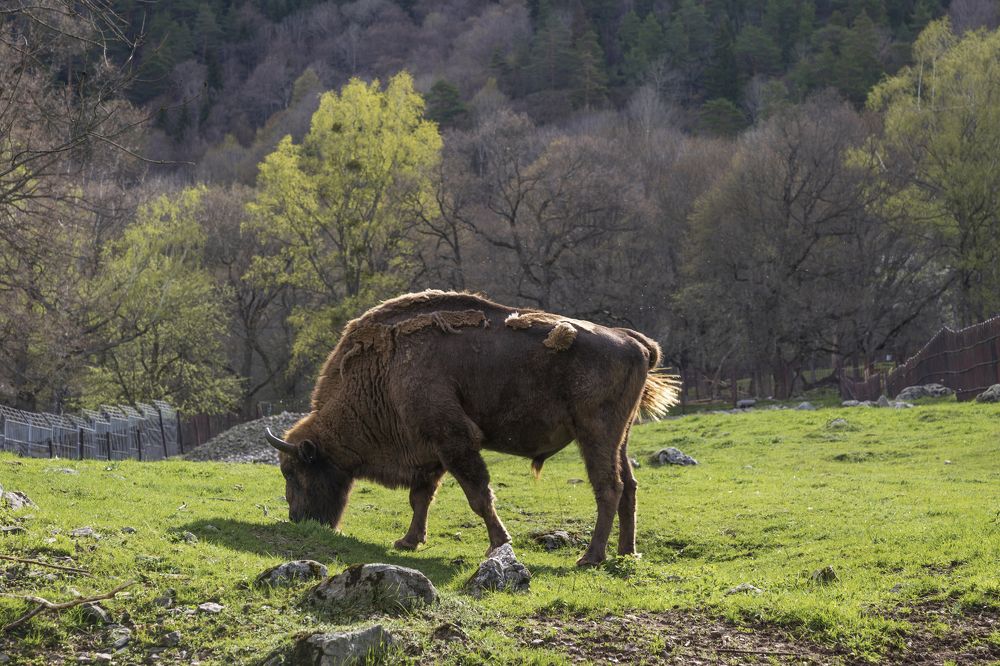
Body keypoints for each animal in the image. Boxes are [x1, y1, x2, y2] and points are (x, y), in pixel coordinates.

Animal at [265, 290, 678, 566]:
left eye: (295, 472)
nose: (299, 520)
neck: (387, 370)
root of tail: (632, 340)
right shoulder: (430, 451)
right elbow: (420, 498)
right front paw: (407, 541)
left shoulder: (455, 441)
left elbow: (478, 495)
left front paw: (498, 543)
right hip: (619, 437)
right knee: (629, 485)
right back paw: (627, 552)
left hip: (595, 434)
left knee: (609, 487)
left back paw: (590, 557)